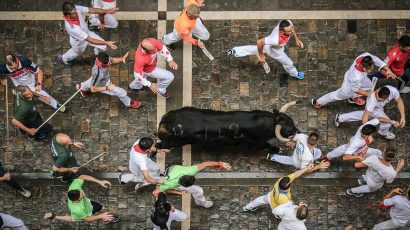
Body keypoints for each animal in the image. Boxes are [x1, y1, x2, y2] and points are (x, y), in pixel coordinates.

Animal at [155, 101, 300, 150]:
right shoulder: (258, 144)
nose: (298, 131)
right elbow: (268, 147)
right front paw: (277, 149)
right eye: (288, 128)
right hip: (172, 143)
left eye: (291, 120)